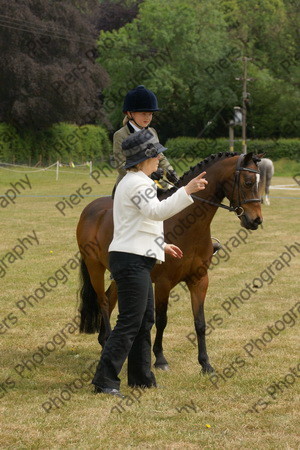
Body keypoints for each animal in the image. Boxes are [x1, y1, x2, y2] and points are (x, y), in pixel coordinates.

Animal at [77, 151, 262, 372]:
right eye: (248, 182)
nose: (256, 220)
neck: (186, 222)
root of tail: (90, 208)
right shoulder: (163, 283)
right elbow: (162, 320)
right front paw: (160, 359)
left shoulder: (199, 280)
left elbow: (200, 322)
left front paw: (205, 363)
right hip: (94, 267)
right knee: (103, 301)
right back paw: (107, 341)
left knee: (110, 298)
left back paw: (107, 341)